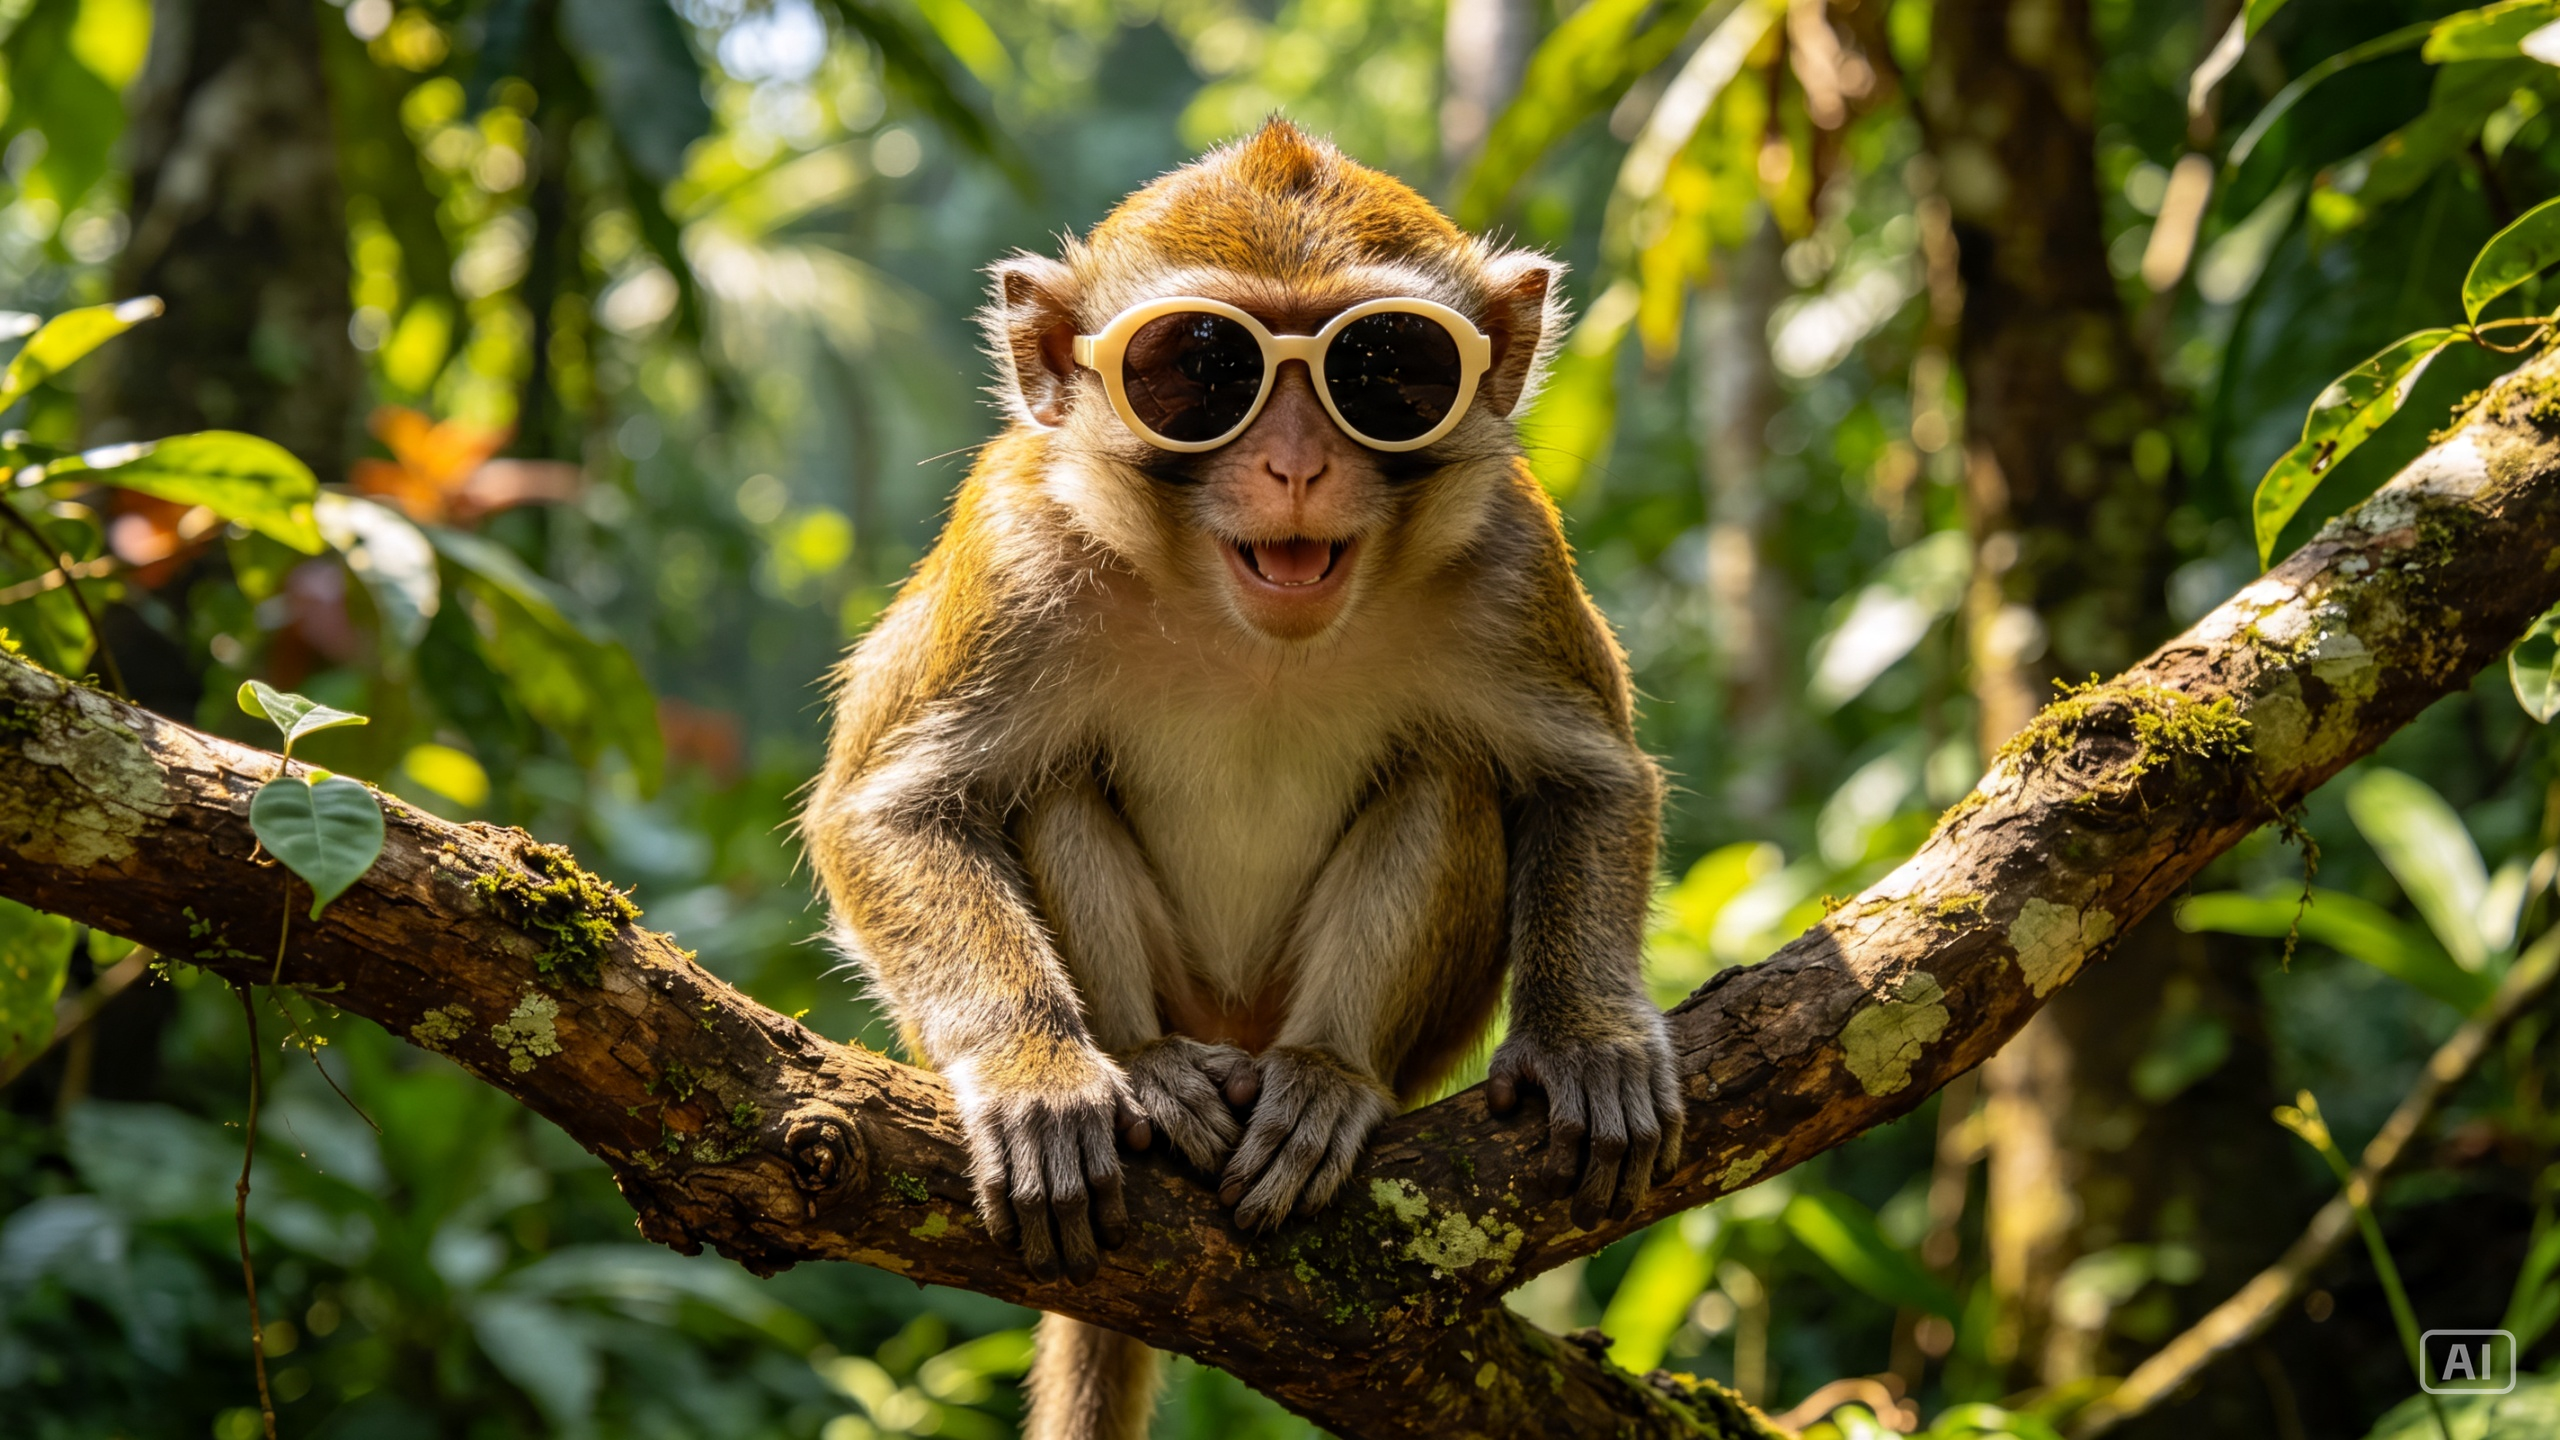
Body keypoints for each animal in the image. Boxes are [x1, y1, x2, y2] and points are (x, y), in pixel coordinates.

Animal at [800, 119, 1681, 1440]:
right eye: (1198, 370)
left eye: (1388, 369)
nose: (1296, 463)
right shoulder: (1017, 550)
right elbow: (892, 811)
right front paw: (1031, 1068)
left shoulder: (1509, 553)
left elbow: (1590, 781)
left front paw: (1585, 1040)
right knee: (1049, 790)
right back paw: (1154, 1068)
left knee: (1446, 781)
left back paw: (1323, 1078)